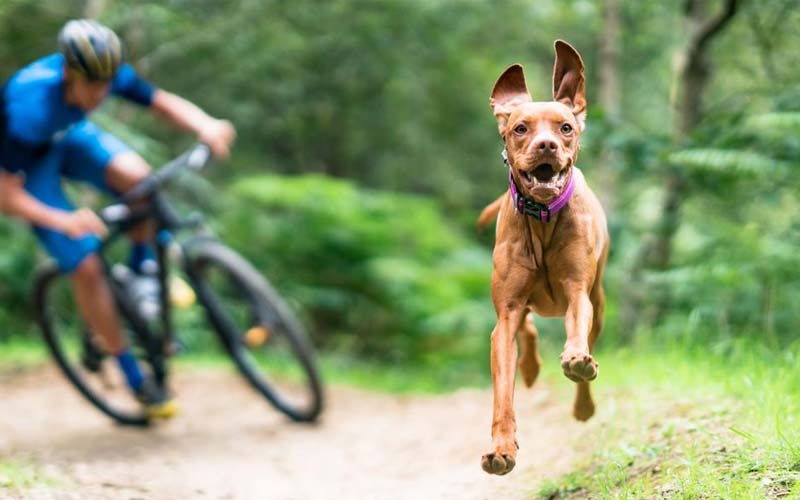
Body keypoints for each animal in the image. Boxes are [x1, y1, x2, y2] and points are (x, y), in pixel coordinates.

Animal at [478, 41, 608, 474]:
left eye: (564, 127)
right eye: (521, 128)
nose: (547, 145)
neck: (542, 220)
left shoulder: (577, 292)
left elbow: (577, 334)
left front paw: (576, 360)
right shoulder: (506, 315)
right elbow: (503, 391)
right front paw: (502, 447)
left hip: (600, 303)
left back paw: (583, 397)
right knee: (527, 330)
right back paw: (532, 367)